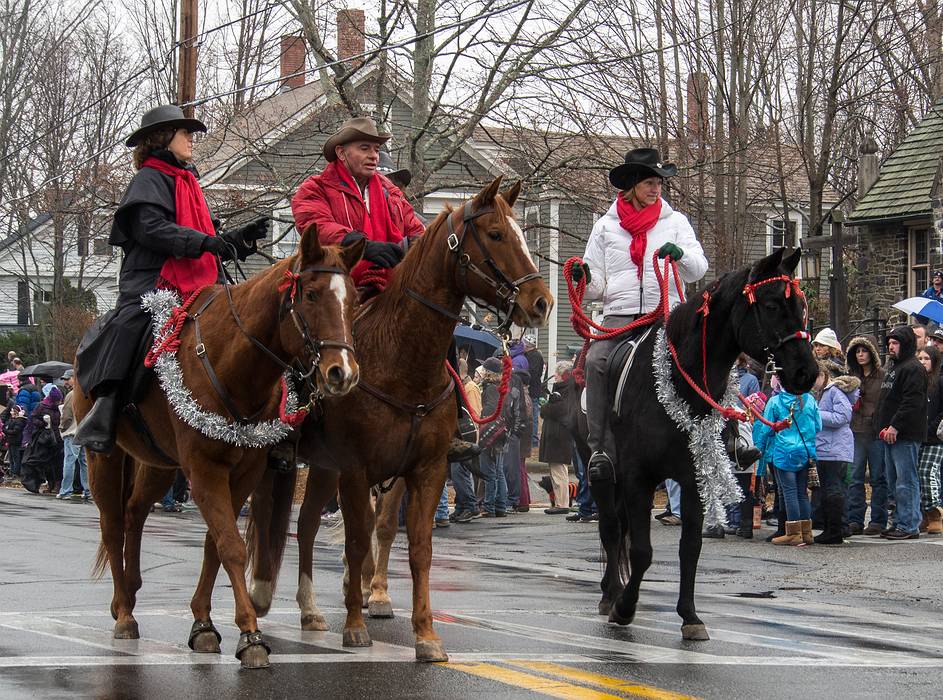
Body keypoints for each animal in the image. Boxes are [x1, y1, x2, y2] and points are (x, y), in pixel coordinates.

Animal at [74, 228, 366, 668]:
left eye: (353, 297)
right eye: (312, 294)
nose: (342, 374)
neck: (234, 364)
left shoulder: (243, 471)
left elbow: (216, 544)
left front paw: (204, 624)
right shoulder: (204, 468)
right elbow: (231, 546)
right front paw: (250, 635)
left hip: (159, 464)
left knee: (134, 512)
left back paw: (132, 588)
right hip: (103, 459)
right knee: (111, 524)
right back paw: (124, 612)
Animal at [245, 176, 552, 660]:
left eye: (524, 233)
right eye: (497, 234)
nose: (540, 302)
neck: (402, 362)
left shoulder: (424, 469)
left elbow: (412, 543)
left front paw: (423, 632)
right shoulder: (356, 469)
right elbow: (357, 539)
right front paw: (355, 624)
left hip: (324, 468)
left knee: (309, 523)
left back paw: (312, 608)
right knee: (272, 516)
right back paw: (263, 595)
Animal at [592, 246, 820, 640]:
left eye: (802, 306)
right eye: (772, 305)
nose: (807, 373)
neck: (680, 385)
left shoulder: (694, 477)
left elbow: (691, 548)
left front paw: (690, 616)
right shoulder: (638, 477)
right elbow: (641, 551)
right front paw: (625, 608)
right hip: (607, 474)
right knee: (611, 526)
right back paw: (611, 595)